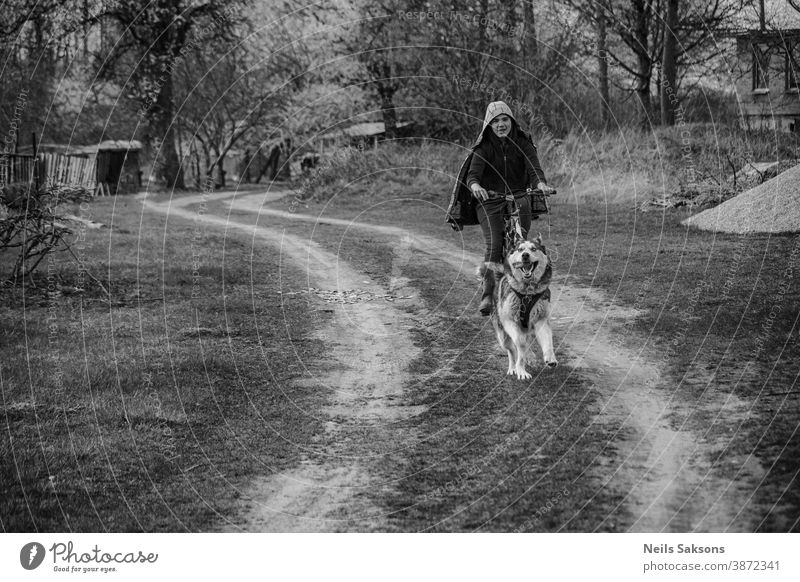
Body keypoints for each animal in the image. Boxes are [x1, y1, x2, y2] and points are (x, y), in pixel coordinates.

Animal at [482, 235, 556, 380]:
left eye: (533, 249)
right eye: (520, 249)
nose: (525, 255)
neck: (527, 291)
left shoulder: (541, 319)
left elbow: (548, 340)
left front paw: (550, 358)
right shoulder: (509, 320)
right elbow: (520, 345)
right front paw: (521, 370)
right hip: (502, 335)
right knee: (511, 350)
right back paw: (513, 367)